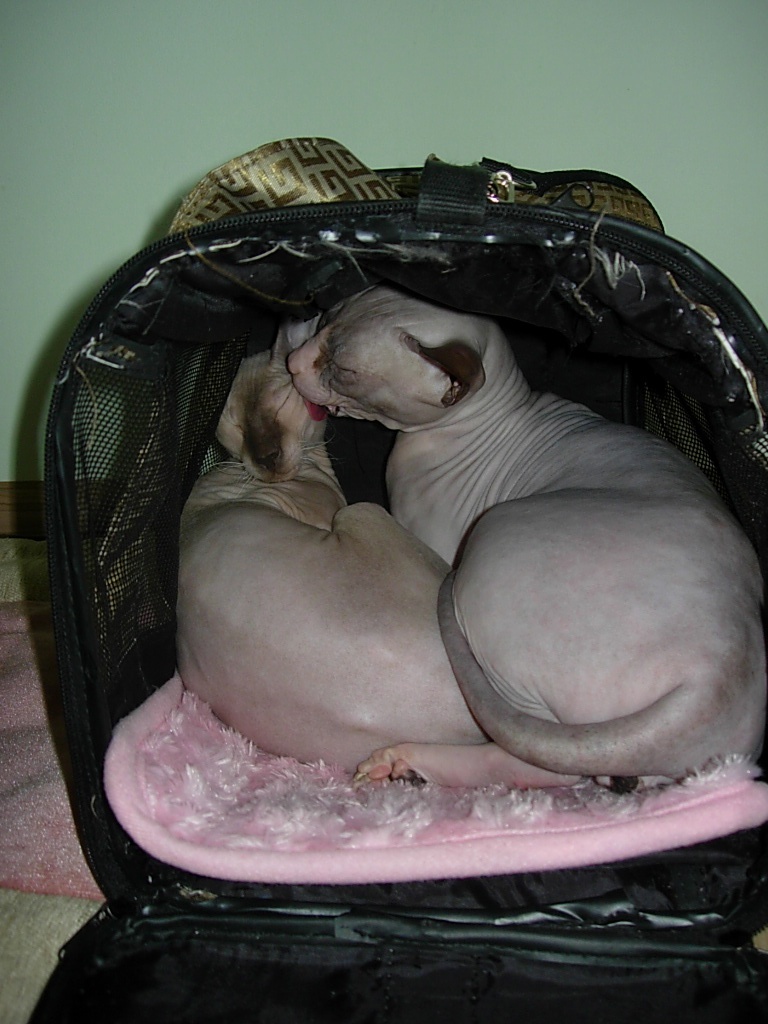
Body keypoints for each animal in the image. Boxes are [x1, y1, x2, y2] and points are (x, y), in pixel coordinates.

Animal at [287, 285, 767, 787]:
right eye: (326, 320)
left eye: (345, 371)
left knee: (537, 759)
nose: (293, 362)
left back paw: (405, 759)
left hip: (493, 540)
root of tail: (717, 672)